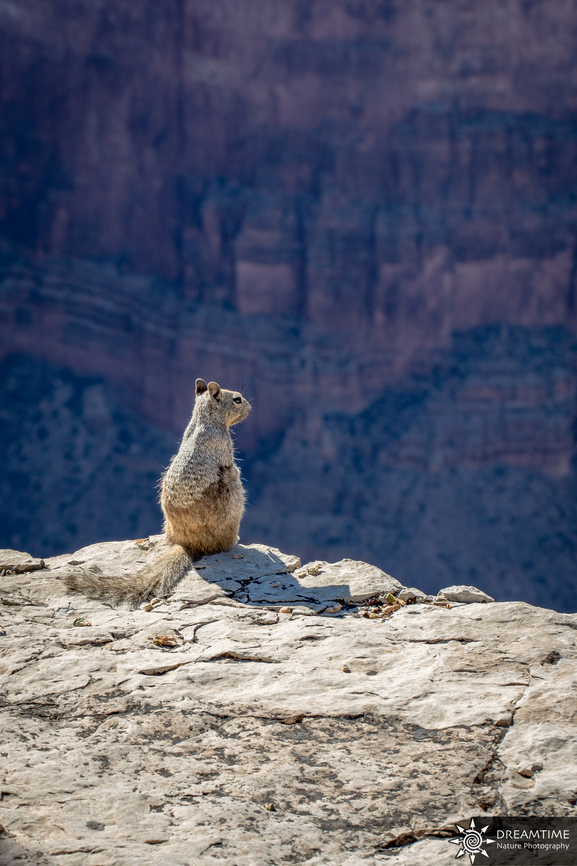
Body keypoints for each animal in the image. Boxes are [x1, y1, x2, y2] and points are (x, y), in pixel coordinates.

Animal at [62, 378, 251, 606]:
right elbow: (231, 468)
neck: (204, 418)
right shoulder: (223, 445)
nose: (250, 407)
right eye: (237, 399)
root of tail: (190, 544)